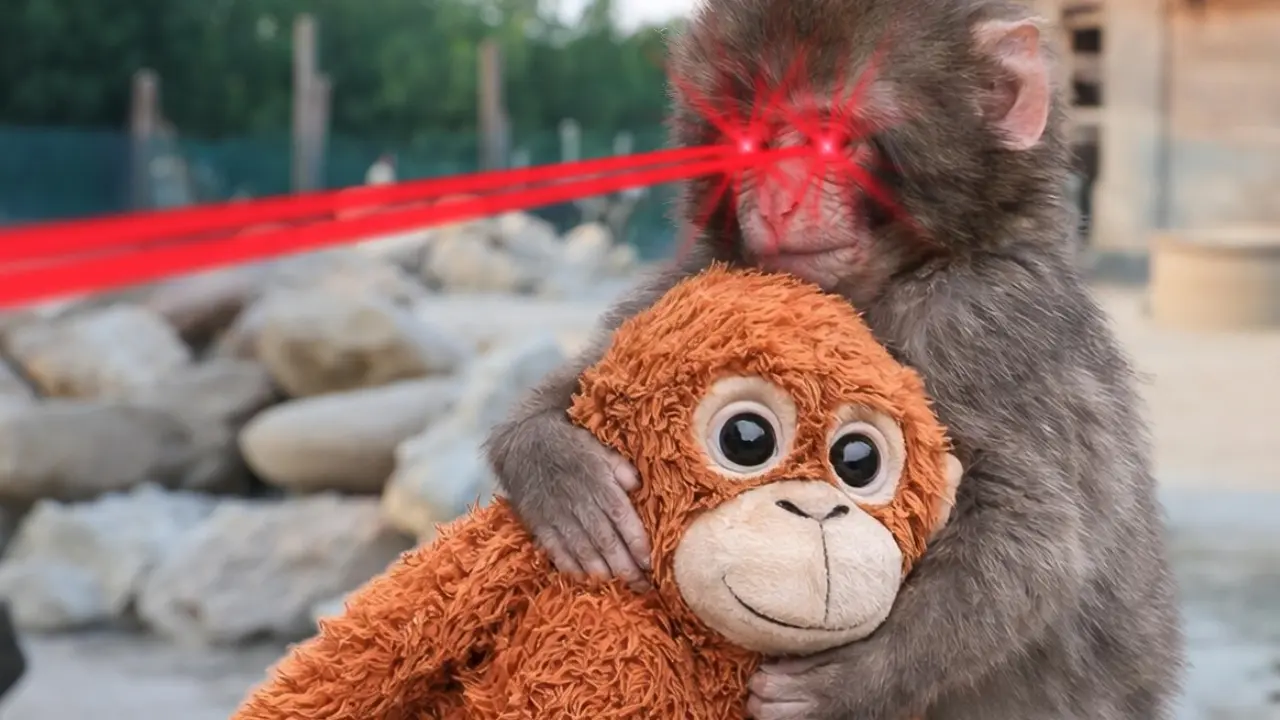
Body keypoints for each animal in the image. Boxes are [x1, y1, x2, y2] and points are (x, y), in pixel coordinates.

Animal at [485, 0, 1185, 718]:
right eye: (754, 140)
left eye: (827, 136)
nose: (777, 195)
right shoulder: (700, 276)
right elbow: (587, 382)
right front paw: (560, 473)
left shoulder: (983, 320)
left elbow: (1033, 535)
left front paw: (846, 684)